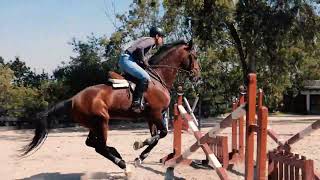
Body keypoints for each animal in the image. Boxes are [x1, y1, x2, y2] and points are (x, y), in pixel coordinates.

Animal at [21, 39, 200, 177]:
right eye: (195, 56)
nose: (198, 75)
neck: (158, 77)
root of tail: (72, 99)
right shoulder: (156, 113)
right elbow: (161, 134)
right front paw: (139, 146)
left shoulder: (151, 116)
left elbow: (156, 138)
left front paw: (139, 158)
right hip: (102, 121)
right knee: (99, 146)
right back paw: (124, 165)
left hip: (94, 124)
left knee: (92, 143)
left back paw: (117, 154)